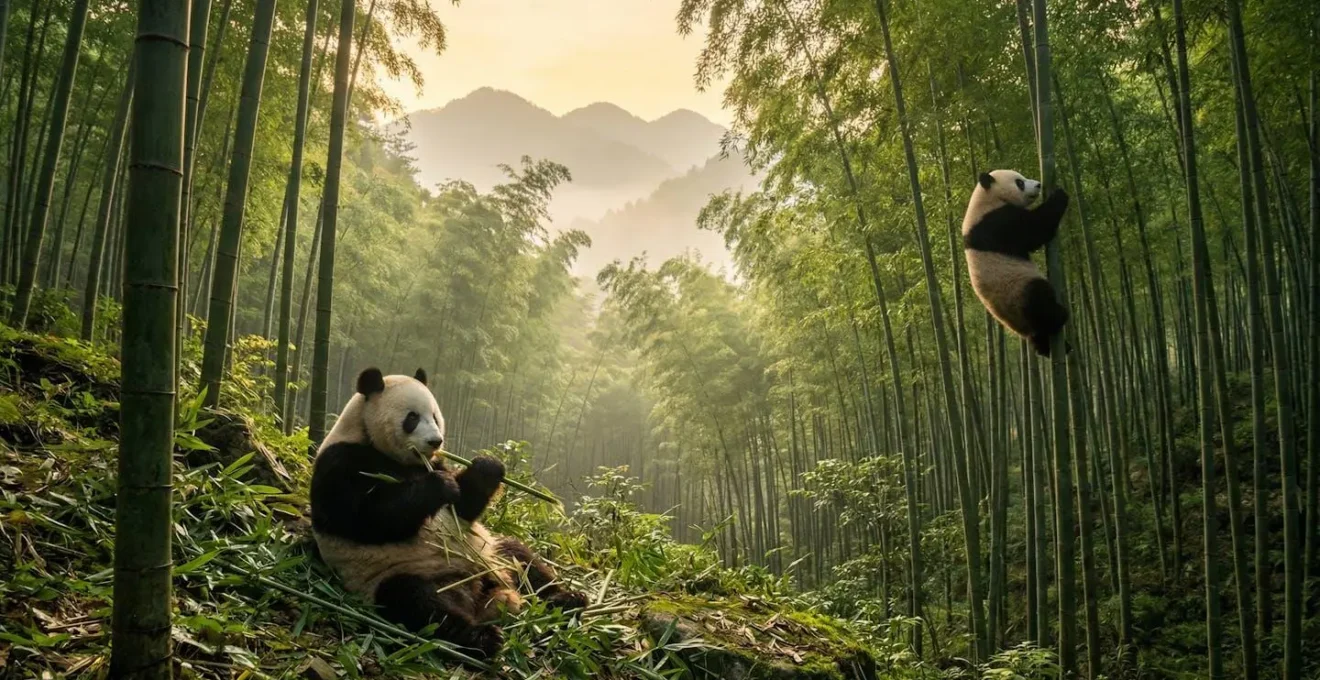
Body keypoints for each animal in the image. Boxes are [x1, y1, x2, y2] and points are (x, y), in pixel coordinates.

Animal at [310, 367, 587, 660]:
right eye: (412, 417)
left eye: (435, 416)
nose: (435, 441)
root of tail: (479, 594)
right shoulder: (342, 462)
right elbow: (362, 518)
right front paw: (439, 487)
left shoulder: (433, 462)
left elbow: (463, 508)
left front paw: (487, 467)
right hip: (394, 575)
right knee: (420, 603)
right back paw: (483, 638)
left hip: (493, 553)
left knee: (523, 559)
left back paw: (567, 600)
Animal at [962, 169, 1071, 356]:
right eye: (1019, 182)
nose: (1038, 185)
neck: (986, 198)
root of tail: (1023, 329)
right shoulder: (996, 223)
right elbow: (1035, 231)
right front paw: (1059, 194)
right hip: (1018, 290)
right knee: (1039, 299)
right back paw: (1059, 315)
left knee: (1039, 336)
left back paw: (1053, 348)